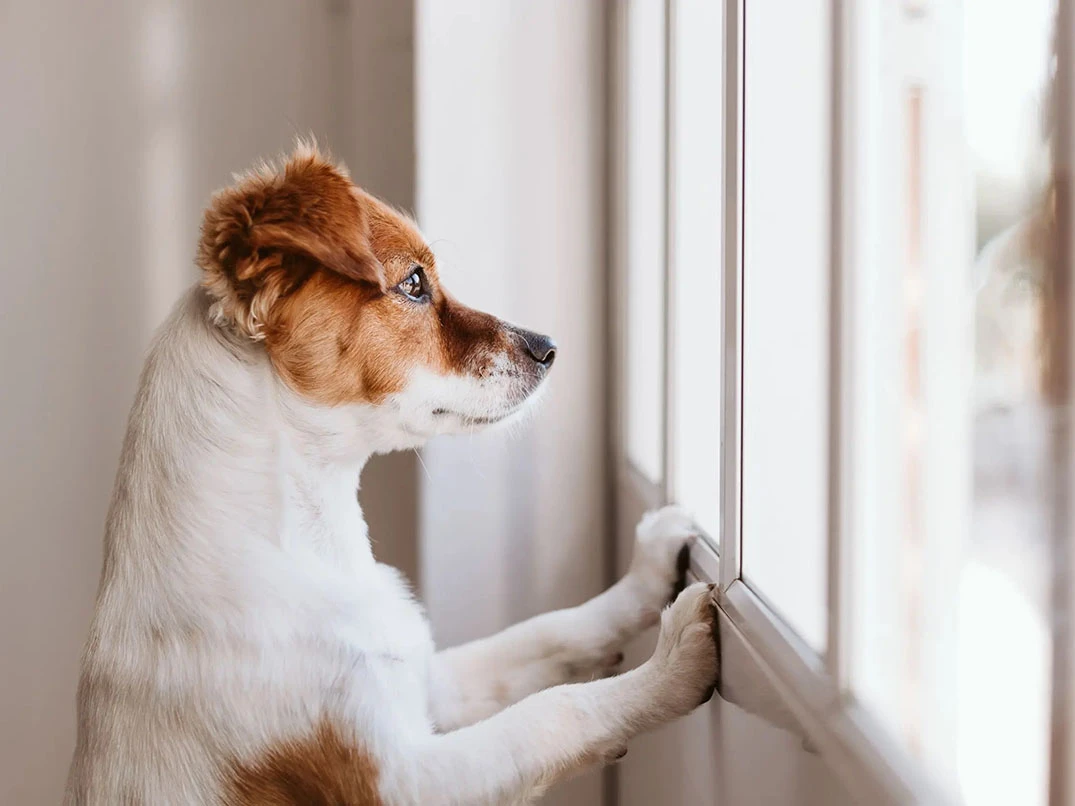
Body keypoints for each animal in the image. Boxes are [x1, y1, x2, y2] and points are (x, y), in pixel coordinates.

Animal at [62, 145, 718, 806]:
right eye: (413, 284)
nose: (549, 347)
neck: (310, 544)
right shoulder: (401, 779)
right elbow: (553, 713)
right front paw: (670, 666)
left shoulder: (429, 682)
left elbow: (549, 632)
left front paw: (647, 573)